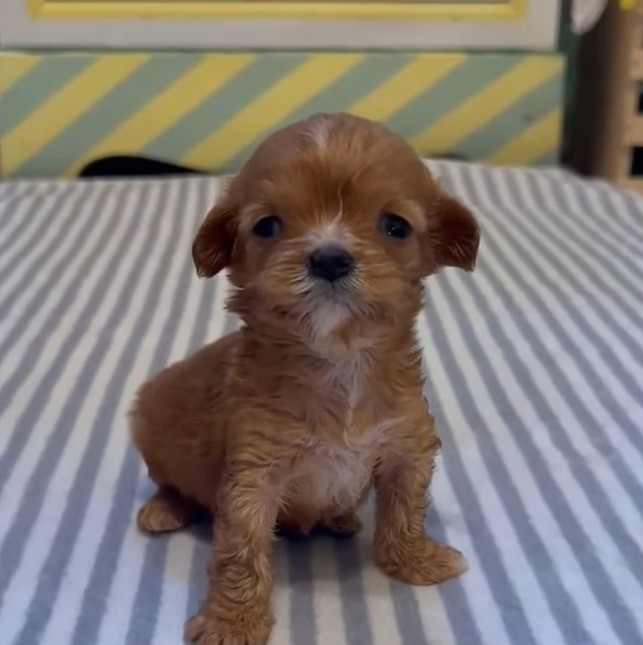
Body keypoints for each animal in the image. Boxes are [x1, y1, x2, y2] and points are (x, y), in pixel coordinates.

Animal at [132, 113, 478, 644]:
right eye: (268, 226)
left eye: (394, 226)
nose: (329, 258)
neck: (339, 359)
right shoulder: (251, 477)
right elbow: (240, 554)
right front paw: (232, 621)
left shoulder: (408, 446)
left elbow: (405, 510)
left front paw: (416, 560)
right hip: (150, 425)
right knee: (171, 481)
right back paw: (165, 508)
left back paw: (341, 517)